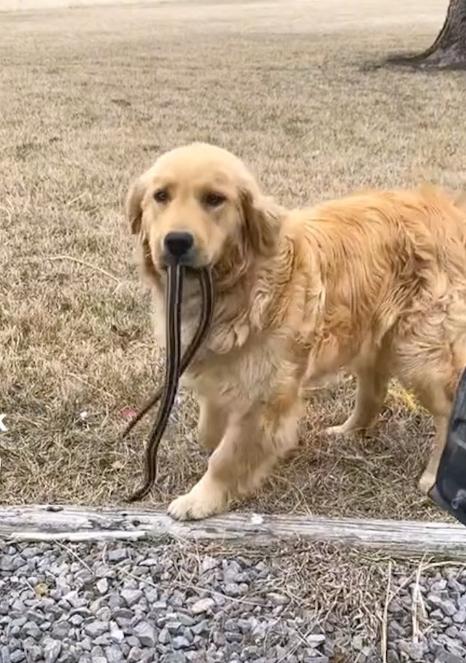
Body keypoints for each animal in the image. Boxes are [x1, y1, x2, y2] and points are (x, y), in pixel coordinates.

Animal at [125, 143, 466, 520]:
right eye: (161, 196)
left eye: (215, 199)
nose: (177, 241)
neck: (240, 286)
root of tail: (448, 208)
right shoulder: (218, 370)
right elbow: (209, 431)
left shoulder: (266, 396)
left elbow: (227, 457)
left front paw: (201, 499)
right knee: (374, 390)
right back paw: (347, 432)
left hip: (422, 354)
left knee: (447, 411)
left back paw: (434, 478)